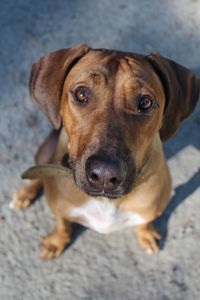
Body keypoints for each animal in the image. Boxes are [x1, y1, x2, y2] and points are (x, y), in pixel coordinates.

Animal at [12, 43, 200, 258]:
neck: (105, 201)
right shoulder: (60, 207)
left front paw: (146, 233)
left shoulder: (151, 209)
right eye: (81, 93)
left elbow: (145, 221)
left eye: (145, 102)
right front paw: (56, 241)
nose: (104, 174)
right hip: (45, 151)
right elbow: (62, 223)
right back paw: (25, 194)